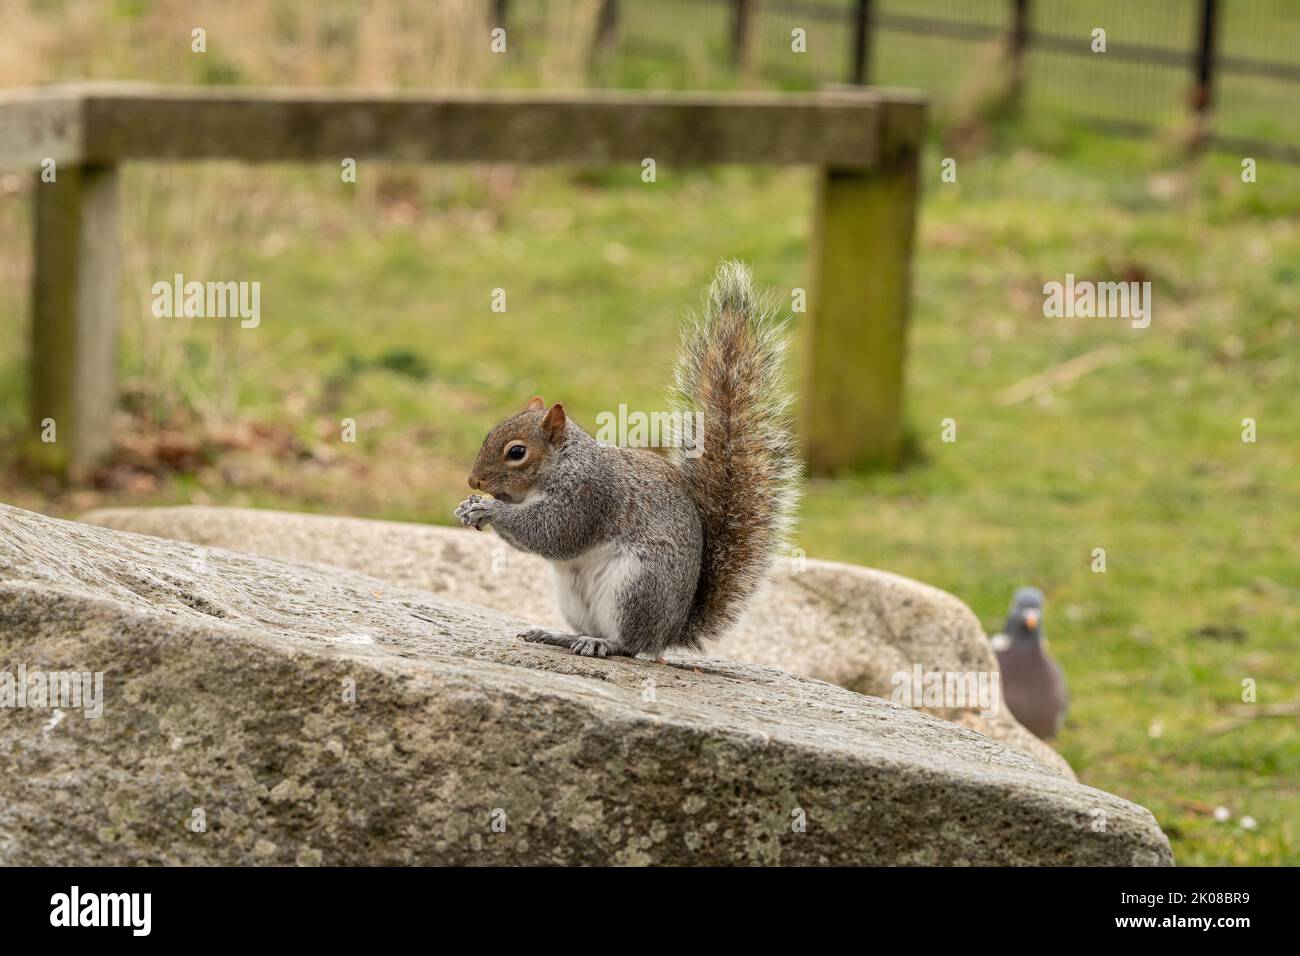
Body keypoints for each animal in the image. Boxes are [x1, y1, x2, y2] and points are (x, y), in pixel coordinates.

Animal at [457, 261, 800, 658]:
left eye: (517, 452)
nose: (474, 481)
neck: (561, 465)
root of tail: (670, 631)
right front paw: (467, 506)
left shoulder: (589, 495)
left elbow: (554, 532)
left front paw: (488, 509)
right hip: (574, 595)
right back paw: (560, 636)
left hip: (636, 586)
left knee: (631, 643)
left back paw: (602, 643)